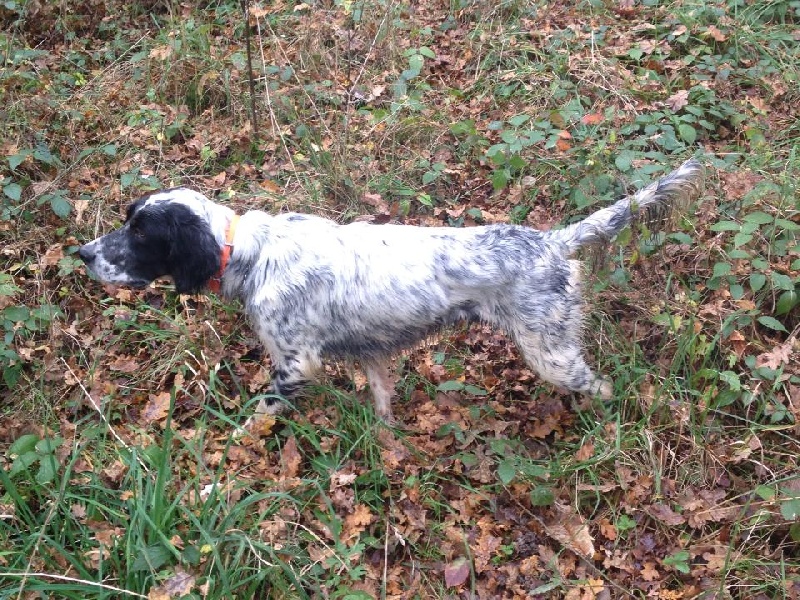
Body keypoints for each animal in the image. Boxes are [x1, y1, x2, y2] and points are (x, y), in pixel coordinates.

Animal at [79, 159, 704, 423]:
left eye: (140, 232)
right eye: (128, 219)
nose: (83, 253)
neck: (251, 255)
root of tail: (551, 241)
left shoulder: (295, 363)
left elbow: (256, 418)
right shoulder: (372, 356)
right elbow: (382, 407)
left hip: (551, 352)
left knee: (605, 387)